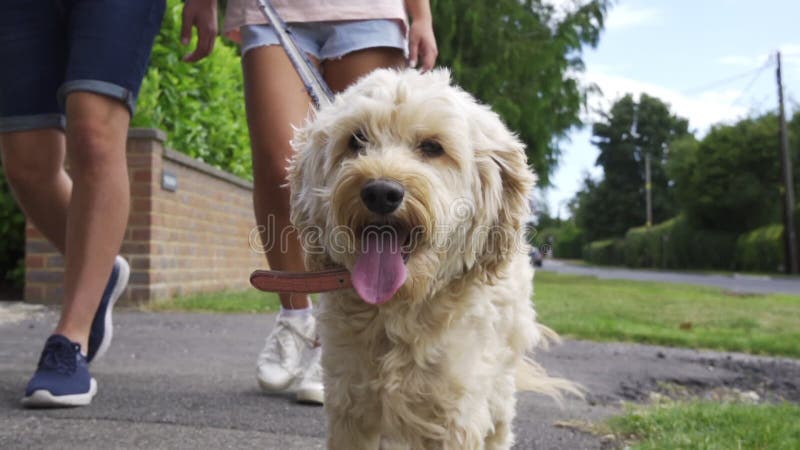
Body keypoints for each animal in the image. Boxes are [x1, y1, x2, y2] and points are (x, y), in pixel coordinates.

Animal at [288, 68, 568, 448]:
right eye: (356, 140)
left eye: (433, 147)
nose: (381, 192)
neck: (400, 308)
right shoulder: (349, 406)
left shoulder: (456, 413)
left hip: (499, 381)